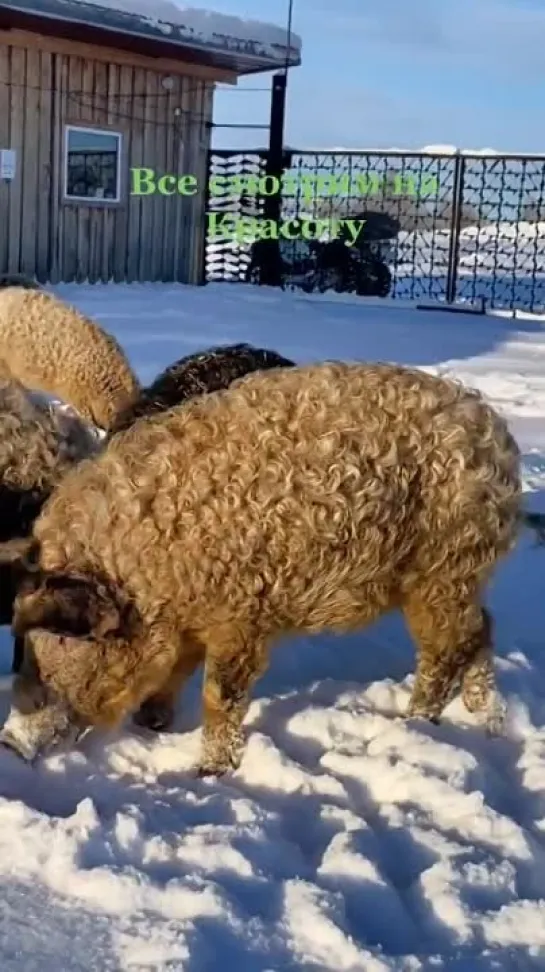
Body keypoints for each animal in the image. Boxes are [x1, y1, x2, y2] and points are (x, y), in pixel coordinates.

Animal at [3, 356, 540, 776]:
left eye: (58, 642)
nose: (9, 742)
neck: (145, 570)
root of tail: (495, 433)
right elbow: (176, 673)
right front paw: (151, 724)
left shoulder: (244, 615)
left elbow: (221, 694)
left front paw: (209, 772)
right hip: (459, 577)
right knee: (481, 630)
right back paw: (489, 721)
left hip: (443, 568)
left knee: (446, 649)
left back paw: (413, 720)